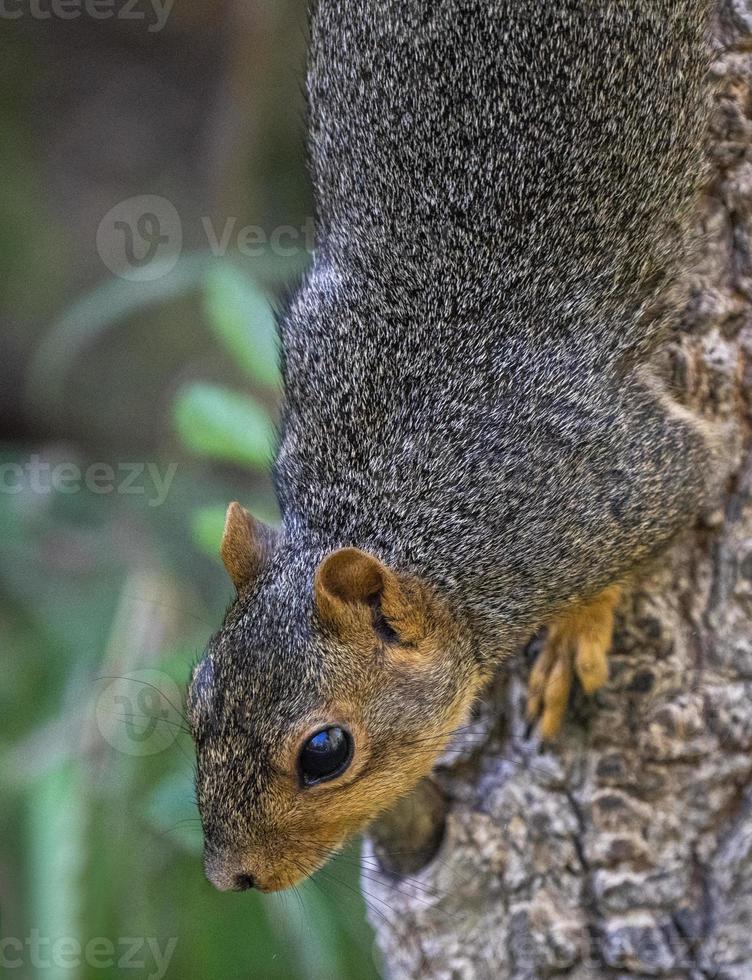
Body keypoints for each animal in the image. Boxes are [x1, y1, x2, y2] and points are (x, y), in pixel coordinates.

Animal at [188, 0, 716, 892]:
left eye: (325, 753)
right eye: (197, 698)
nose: (229, 877)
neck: (397, 490)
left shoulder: (621, 483)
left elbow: (691, 484)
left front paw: (574, 636)